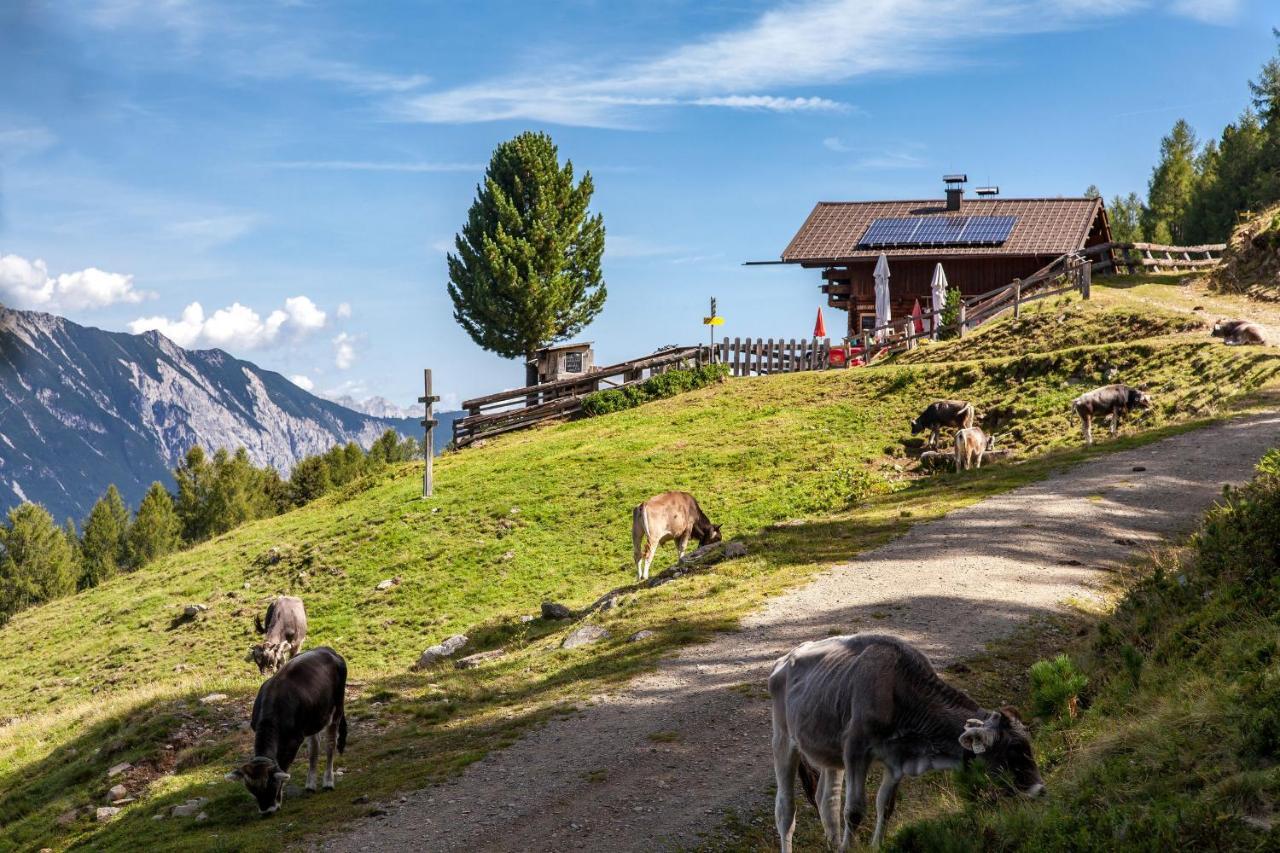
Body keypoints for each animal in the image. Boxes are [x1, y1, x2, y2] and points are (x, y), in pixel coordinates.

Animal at [225, 645, 345, 809]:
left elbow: (283, 765)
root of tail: (328, 650)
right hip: (314, 719)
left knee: (331, 743)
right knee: (314, 748)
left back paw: (328, 782)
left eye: (271, 785)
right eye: (252, 790)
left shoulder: (294, 740)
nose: (267, 810)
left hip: (337, 708)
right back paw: (310, 785)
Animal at [768, 627, 1039, 845]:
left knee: (827, 802)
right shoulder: (855, 750)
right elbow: (854, 811)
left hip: (829, 750)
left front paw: (876, 846)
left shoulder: (895, 759)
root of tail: (784, 659)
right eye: (1014, 748)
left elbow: (885, 806)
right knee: (785, 811)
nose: (1040, 788)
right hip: (783, 740)